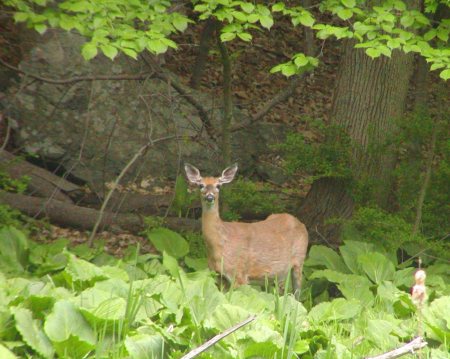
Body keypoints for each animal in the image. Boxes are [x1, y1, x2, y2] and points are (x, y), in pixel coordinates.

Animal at [184, 163, 310, 296]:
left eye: (218, 185)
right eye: (200, 185)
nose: (209, 197)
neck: (219, 245)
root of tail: (300, 223)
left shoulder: (239, 273)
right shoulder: (218, 275)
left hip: (299, 260)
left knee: (297, 293)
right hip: (275, 275)